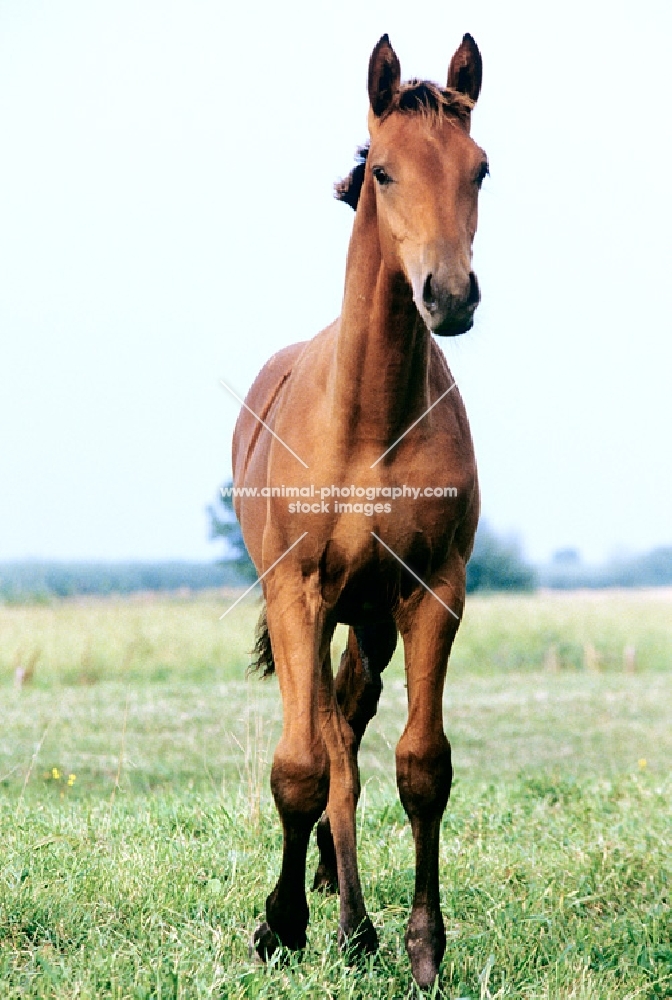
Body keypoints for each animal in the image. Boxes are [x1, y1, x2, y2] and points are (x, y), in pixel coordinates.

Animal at [234, 33, 486, 992]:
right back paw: (335, 917)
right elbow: (299, 768)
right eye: (382, 170)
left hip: (369, 619)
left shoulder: (432, 594)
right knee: (326, 744)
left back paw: (353, 919)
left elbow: (422, 767)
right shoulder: (297, 593)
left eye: (481, 169)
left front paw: (424, 946)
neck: (371, 421)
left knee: (348, 724)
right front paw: (278, 926)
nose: (449, 294)